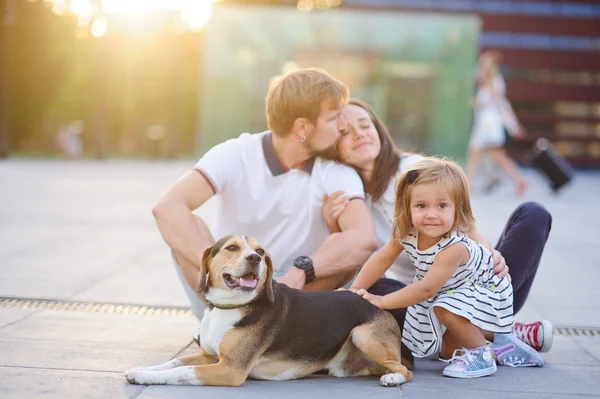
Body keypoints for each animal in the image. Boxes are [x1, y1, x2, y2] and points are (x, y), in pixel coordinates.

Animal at [126, 234, 412, 388]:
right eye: (232, 247)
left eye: (261, 251)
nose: (255, 258)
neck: (230, 306)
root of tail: (378, 305)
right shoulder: (208, 356)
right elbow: (173, 362)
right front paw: (142, 370)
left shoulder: (229, 369)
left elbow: (181, 372)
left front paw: (147, 378)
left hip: (363, 335)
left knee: (404, 370)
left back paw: (393, 378)